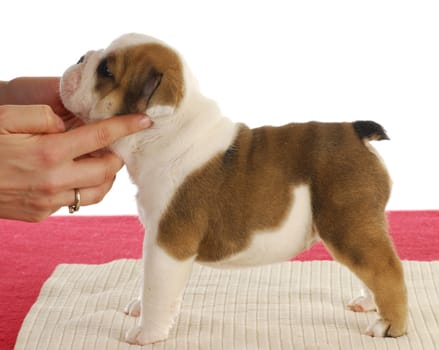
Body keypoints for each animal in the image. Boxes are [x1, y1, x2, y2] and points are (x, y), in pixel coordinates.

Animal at [59, 32, 410, 344]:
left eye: (106, 71)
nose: (80, 56)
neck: (164, 131)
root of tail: (355, 132)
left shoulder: (166, 242)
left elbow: (155, 287)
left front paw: (147, 334)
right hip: (357, 226)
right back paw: (368, 304)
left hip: (348, 224)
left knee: (386, 269)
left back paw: (389, 326)